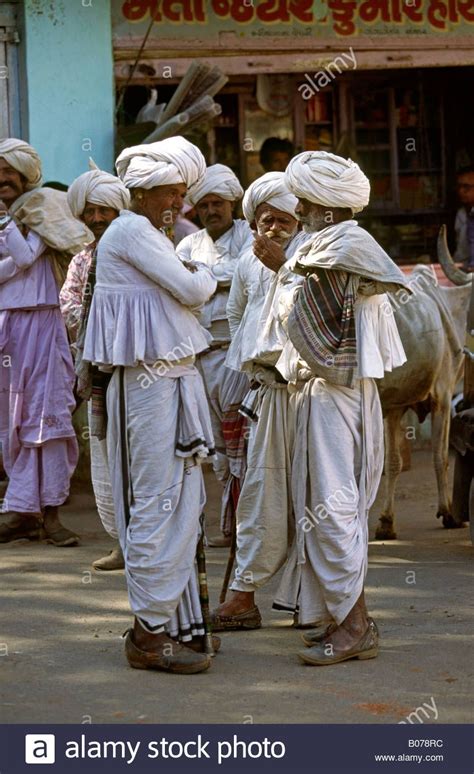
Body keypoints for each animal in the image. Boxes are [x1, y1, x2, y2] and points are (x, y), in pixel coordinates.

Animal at [374, 224, 470, 540]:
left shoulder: (393, 407)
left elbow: (393, 463)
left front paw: (386, 523)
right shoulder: (443, 396)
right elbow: (441, 457)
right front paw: (449, 513)